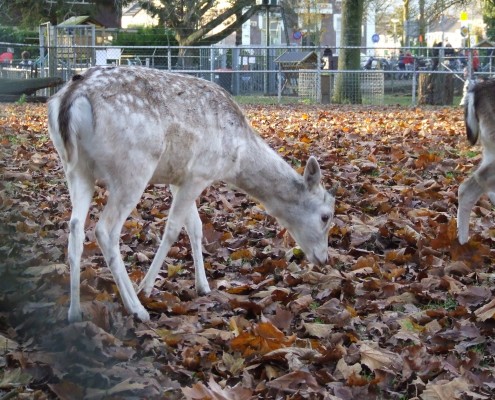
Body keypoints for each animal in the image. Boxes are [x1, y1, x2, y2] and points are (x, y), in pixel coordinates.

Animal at [49, 66, 338, 322]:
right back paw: (137, 309)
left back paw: (74, 313)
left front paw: (204, 286)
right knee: (104, 230)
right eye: (326, 216)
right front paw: (147, 287)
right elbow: (173, 229)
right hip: (133, 168)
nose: (323, 259)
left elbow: (196, 227)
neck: (238, 158)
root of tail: (71, 97)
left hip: (75, 168)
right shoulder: (200, 173)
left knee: (75, 226)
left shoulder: (180, 179)